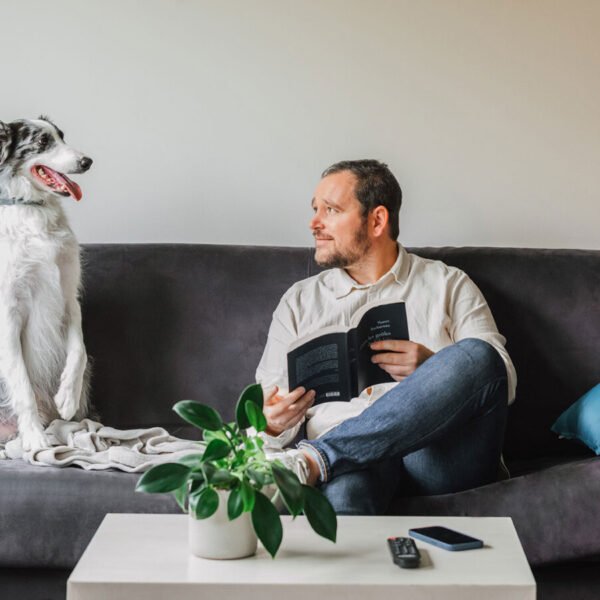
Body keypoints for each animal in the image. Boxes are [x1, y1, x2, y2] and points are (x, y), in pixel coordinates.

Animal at [0, 116, 92, 450]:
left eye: (62, 137)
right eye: (42, 142)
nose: (87, 161)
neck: (33, 208)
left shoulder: (68, 296)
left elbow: (79, 351)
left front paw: (67, 396)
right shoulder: (8, 311)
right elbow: (22, 384)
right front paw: (35, 438)